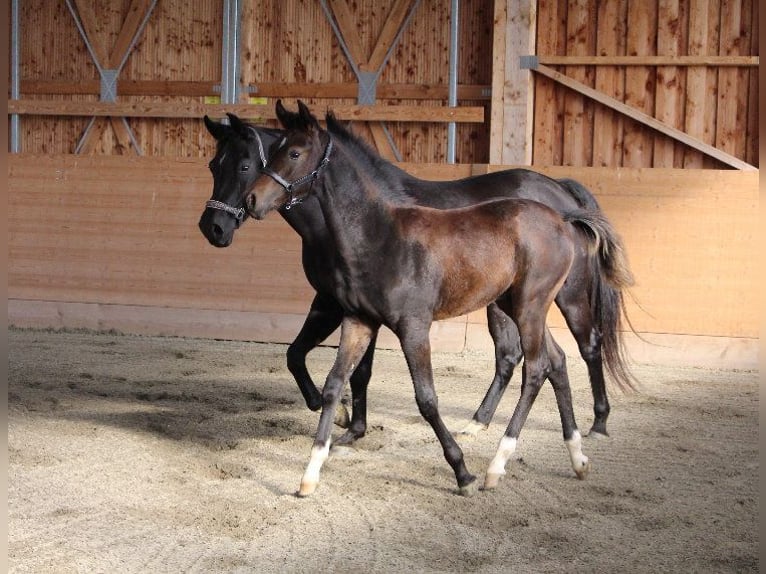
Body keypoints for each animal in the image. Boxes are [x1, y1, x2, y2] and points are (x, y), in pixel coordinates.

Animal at [242, 102, 636, 496]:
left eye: (294, 153)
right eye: (272, 150)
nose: (252, 200)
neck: (377, 235)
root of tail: (564, 218)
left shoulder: (414, 326)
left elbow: (427, 399)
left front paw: (462, 472)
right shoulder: (358, 320)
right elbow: (334, 386)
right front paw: (310, 474)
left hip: (533, 306)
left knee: (540, 367)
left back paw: (498, 464)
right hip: (517, 306)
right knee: (556, 361)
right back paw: (577, 457)